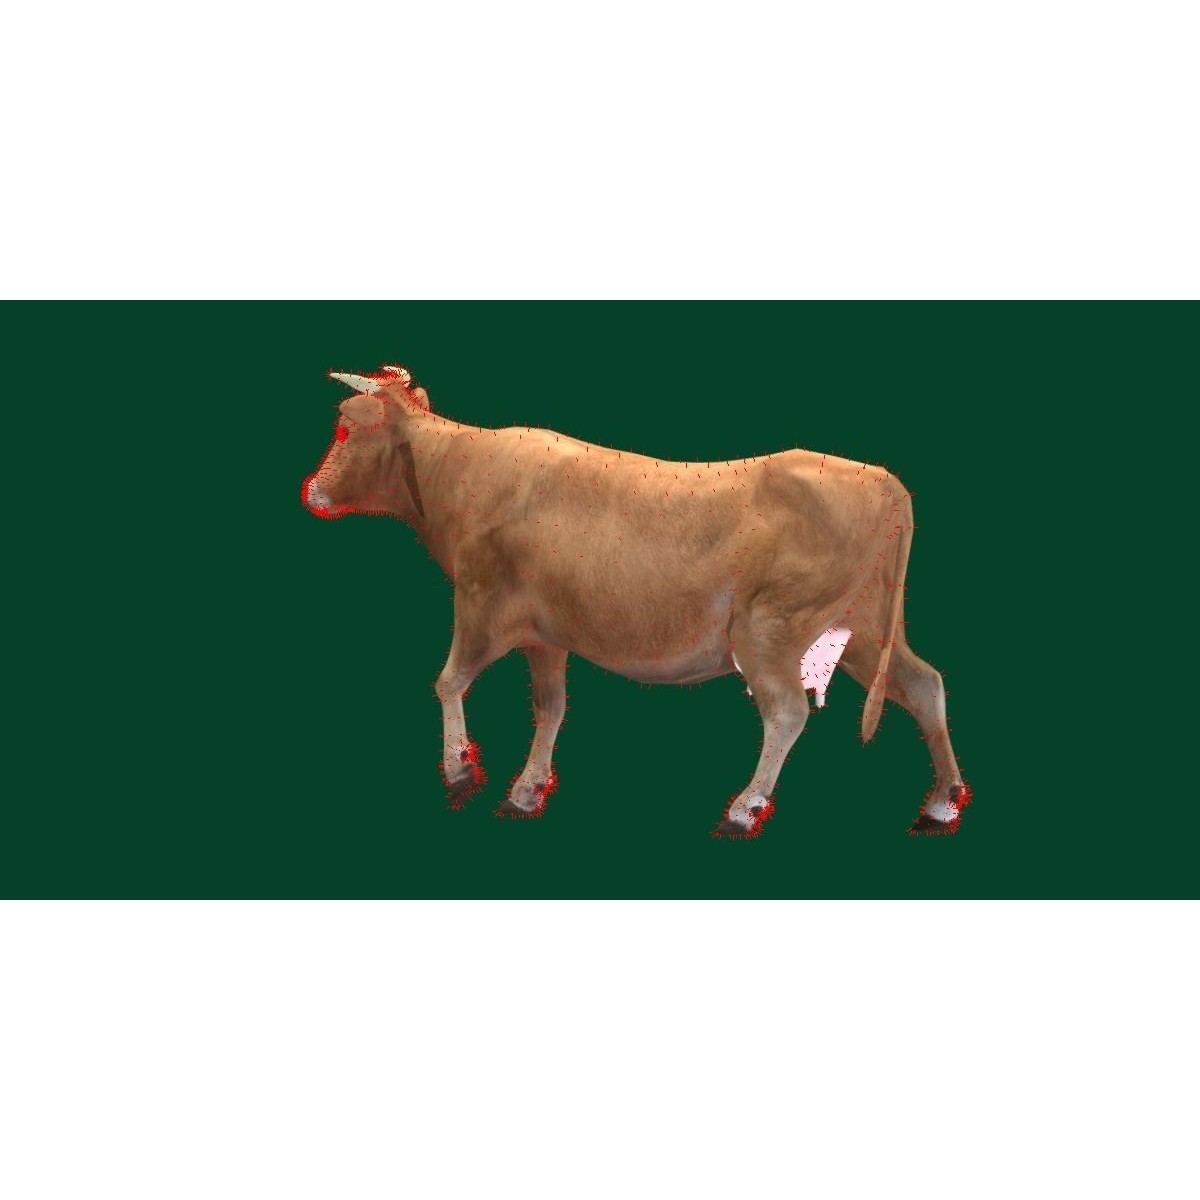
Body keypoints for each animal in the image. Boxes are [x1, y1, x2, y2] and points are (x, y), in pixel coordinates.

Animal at [302, 364, 969, 837]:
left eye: (349, 423)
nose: (312, 490)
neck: (458, 471)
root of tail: (879, 477)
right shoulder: (545, 632)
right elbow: (550, 707)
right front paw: (526, 789)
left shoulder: (480, 603)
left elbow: (448, 682)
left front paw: (460, 771)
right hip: (861, 628)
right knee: (924, 685)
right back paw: (940, 802)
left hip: (770, 627)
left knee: (787, 711)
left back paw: (745, 806)